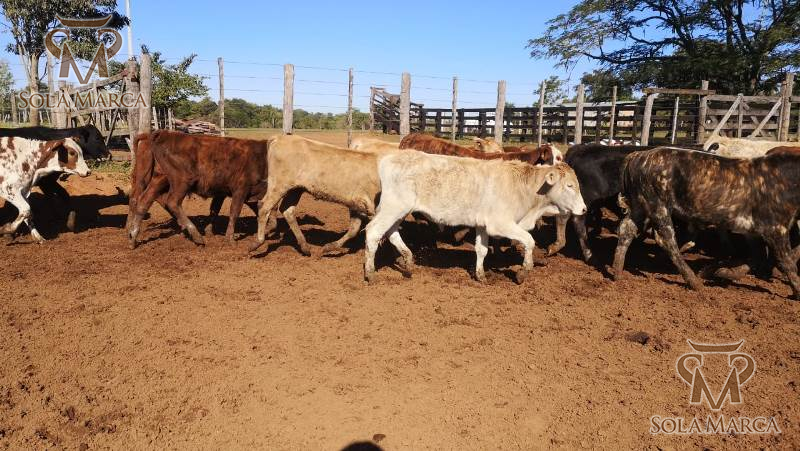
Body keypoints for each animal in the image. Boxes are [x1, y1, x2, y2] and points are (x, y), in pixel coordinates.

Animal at [126, 131, 269, 248]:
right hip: (182, 181)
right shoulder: (240, 190)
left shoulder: (222, 192)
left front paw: (209, 231)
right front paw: (230, 239)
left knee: (143, 201)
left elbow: (214, 210)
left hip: (159, 179)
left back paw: (133, 237)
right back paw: (196, 235)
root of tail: (163, 133)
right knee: (171, 202)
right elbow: (234, 212)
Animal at [249, 135, 385, 256]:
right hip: (278, 186)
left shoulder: (357, 205)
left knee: (287, 211)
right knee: (264, 207)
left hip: (296, 189)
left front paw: (330, 247)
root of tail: (278, 138)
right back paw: (257, 242)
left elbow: (354, 230)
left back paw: (304, 247)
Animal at [363, 152, 586, 283]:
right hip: (394, 207)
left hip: (398, 210)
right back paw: (370, 273)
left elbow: (481, 250)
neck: (522, 187)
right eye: (569, 185)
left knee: (390, 232)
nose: (584, 209)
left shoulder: (483, 225)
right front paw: (523, 272)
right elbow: (529, 241)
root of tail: (388, 157)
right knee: (374, 232)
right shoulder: (500, 224)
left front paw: (480, 275)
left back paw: (408, 262)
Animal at [610, 147, 800, 299]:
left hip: (640, 206)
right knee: (667, 241)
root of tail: (639, 155)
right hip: (658, 206)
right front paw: (797, 291)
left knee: (626, 230)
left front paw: (722, 272)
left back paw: (617, 272)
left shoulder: (753, 231)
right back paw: (693, 281)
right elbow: (786, 261)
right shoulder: (775, 228)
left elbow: (758, 257)